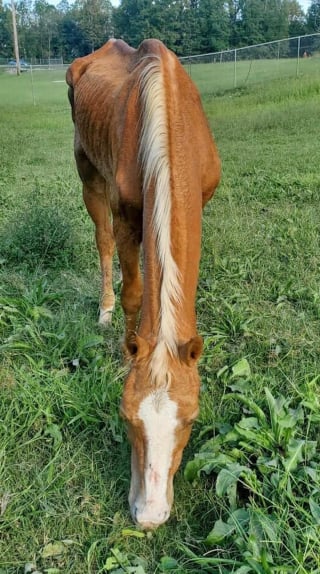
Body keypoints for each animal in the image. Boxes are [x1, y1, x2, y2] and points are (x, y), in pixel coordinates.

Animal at [66, 39, 219, 532]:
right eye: (125, 416)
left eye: (191, 419)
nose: (149, 515)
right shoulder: (125, 214)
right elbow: (135, 291)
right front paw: (125, 349)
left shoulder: (200, 202)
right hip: (88, 173)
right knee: (103, 242)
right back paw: (105, 309)